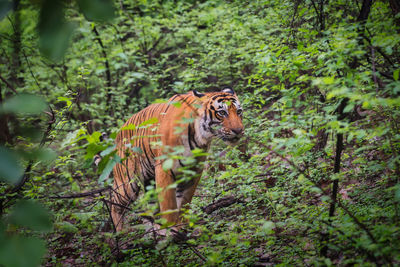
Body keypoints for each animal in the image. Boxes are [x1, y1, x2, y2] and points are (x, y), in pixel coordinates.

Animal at [111, 88, 245, 232]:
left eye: (239, 111)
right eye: (222, 113)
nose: (238, 131)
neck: (197, 134)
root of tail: (119, 130)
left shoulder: (193, 170)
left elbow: (184, 201)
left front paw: (181, 227)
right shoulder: (164, 169)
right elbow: (169, 205)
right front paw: (171, 229)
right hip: (127, 183)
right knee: (115, 203)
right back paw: (120, 233)